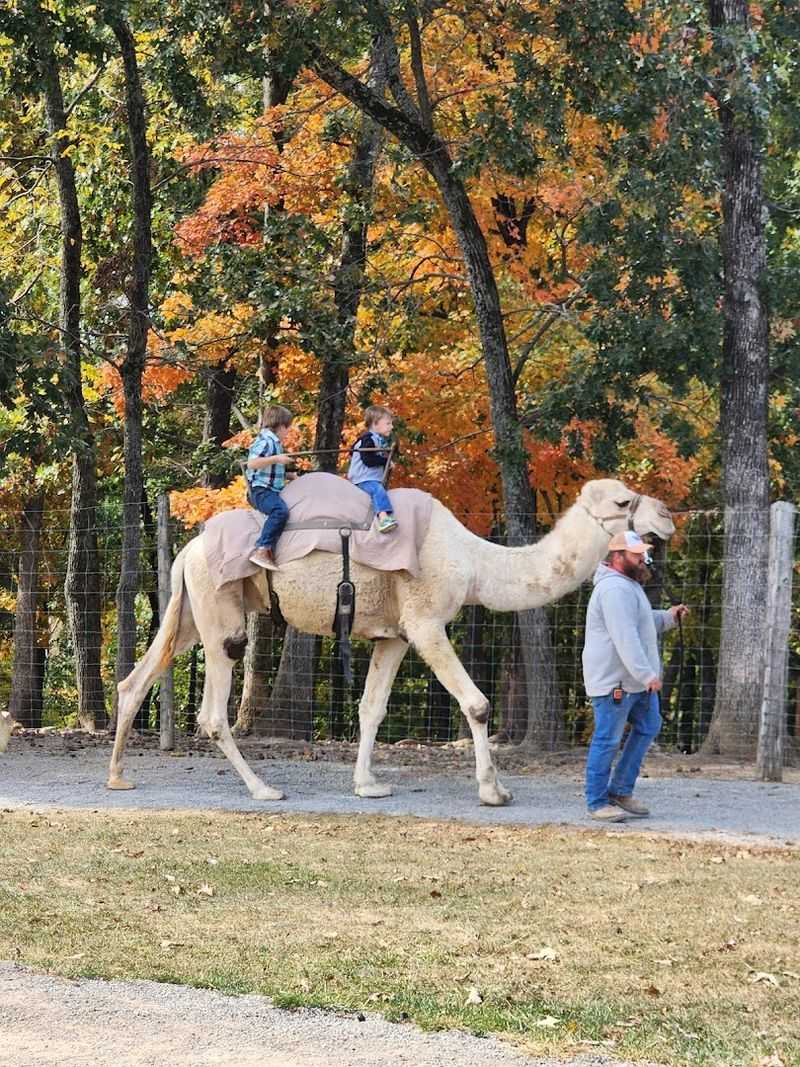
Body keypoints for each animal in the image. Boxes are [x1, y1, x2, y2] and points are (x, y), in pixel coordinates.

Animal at [108, 478, 675, 805]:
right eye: (624, 500)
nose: (667, 516)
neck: (472, 562)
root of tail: (188, 550)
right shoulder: (426, 622)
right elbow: (478, 703)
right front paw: (494, 790)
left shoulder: (395, 634)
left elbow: (371, 708)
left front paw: (368, 784)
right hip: (220, 613)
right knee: (211, 710)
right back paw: (264, 788)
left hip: (189, 611)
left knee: (135, 681)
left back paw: (118, 777)